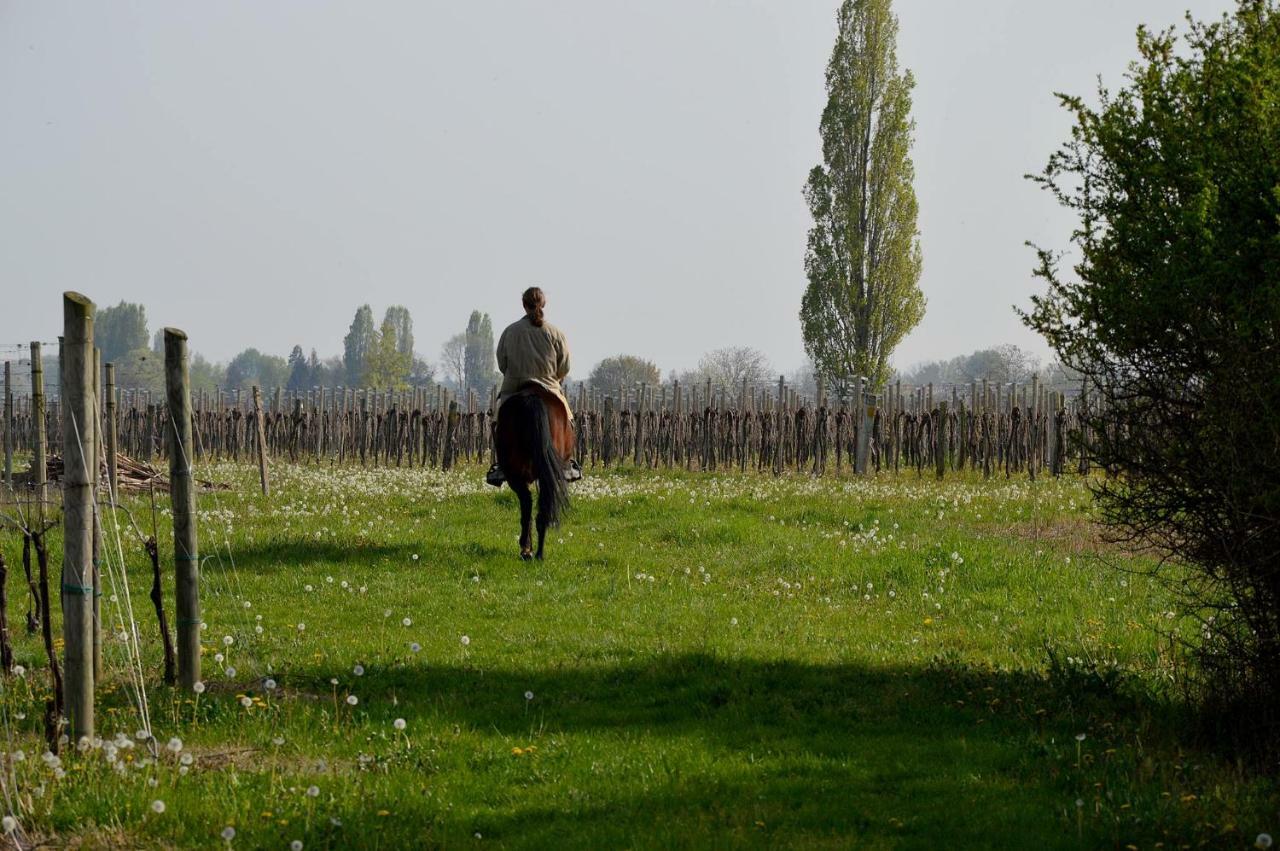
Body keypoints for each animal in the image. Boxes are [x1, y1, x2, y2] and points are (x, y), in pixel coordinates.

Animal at [491, 383, 573, 557]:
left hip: (516, 473)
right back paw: (536, 552)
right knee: (535, 505)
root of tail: (532, 397)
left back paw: (528, 549)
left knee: (528, 503)